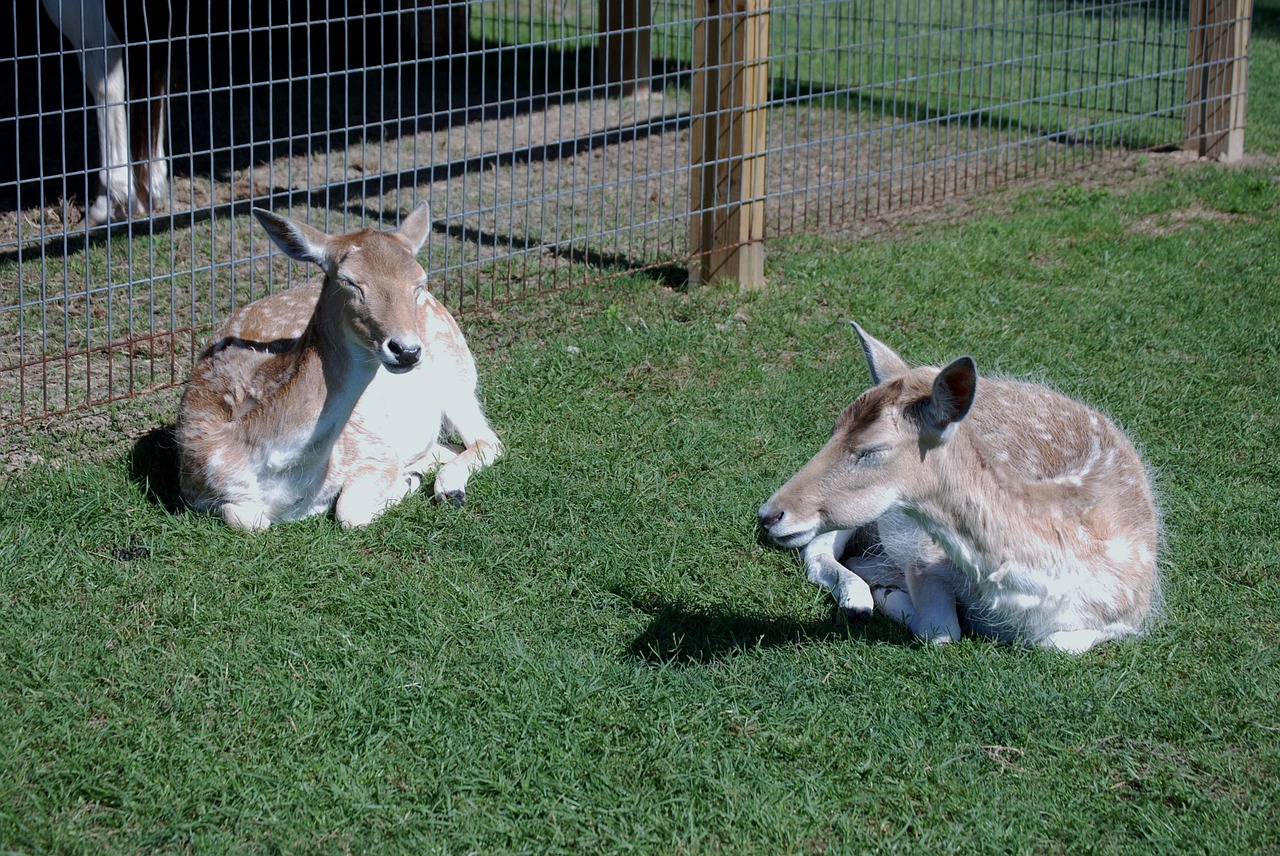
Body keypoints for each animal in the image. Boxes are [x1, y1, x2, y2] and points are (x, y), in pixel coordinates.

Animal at [176, 203, 504, 529]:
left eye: (419, 282)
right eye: (349, 281)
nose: (406, 350)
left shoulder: (374, 450)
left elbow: (349, 512)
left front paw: (405, 482)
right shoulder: (196, 492)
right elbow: (245, 519)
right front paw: (409, 477)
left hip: (456, 375)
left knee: (487, 440)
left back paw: (448, 488)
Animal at [752, 322, 1167, 655]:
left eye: (872, 449)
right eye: (833, 428)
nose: (769, 514)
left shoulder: (1129, 614)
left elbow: (1056, 644)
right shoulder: (924, 554)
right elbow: (941, 631)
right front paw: (891, 596)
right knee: (819, 549)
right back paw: (859, 600)